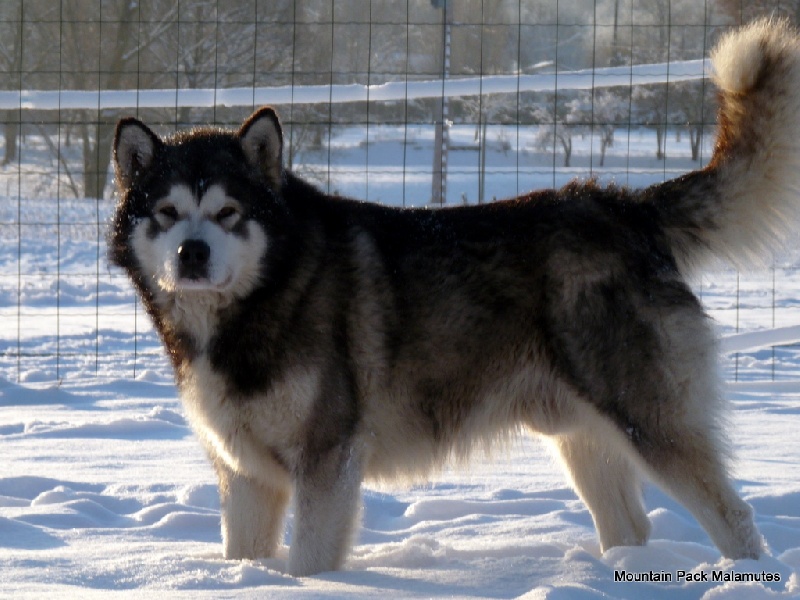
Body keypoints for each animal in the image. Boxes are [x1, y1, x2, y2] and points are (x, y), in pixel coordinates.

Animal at [108, 19, 800, 576]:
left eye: (227, 213)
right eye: (168, 213)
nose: (192, 253)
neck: (262, 298)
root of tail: (624, 206)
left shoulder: (328, 460)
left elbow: (309, 560)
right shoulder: (246, 475)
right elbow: (245, 553)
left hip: (650, 420)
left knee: (734, 517)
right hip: (583, 434)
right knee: (630, 524)